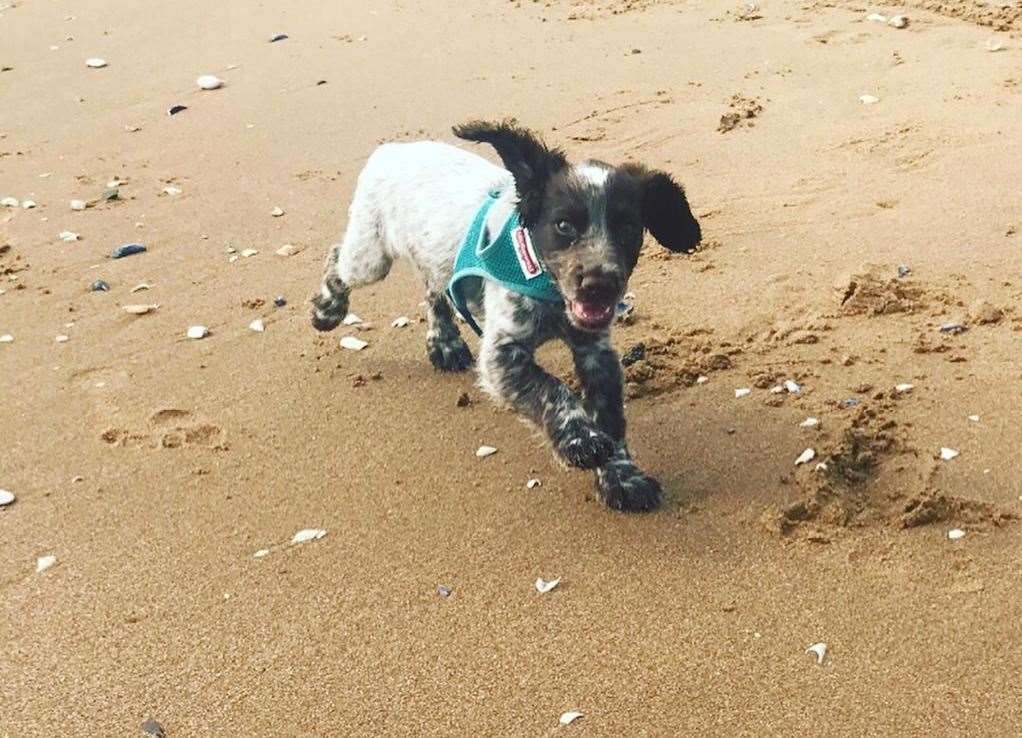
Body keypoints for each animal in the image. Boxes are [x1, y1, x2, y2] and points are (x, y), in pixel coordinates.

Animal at [308, 120, 703, 511]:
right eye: (563, 225)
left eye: (628, 228)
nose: (599, 285)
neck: (548, 289)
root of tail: (394, 149)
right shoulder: (502, 354)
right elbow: (552, 389)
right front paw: (579, 440)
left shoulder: (596, 352)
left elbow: (610, 416)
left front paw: (623, 477)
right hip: (370, 255)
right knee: (337, 258)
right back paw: (327, 310)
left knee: (433, 289)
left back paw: (444, 344)